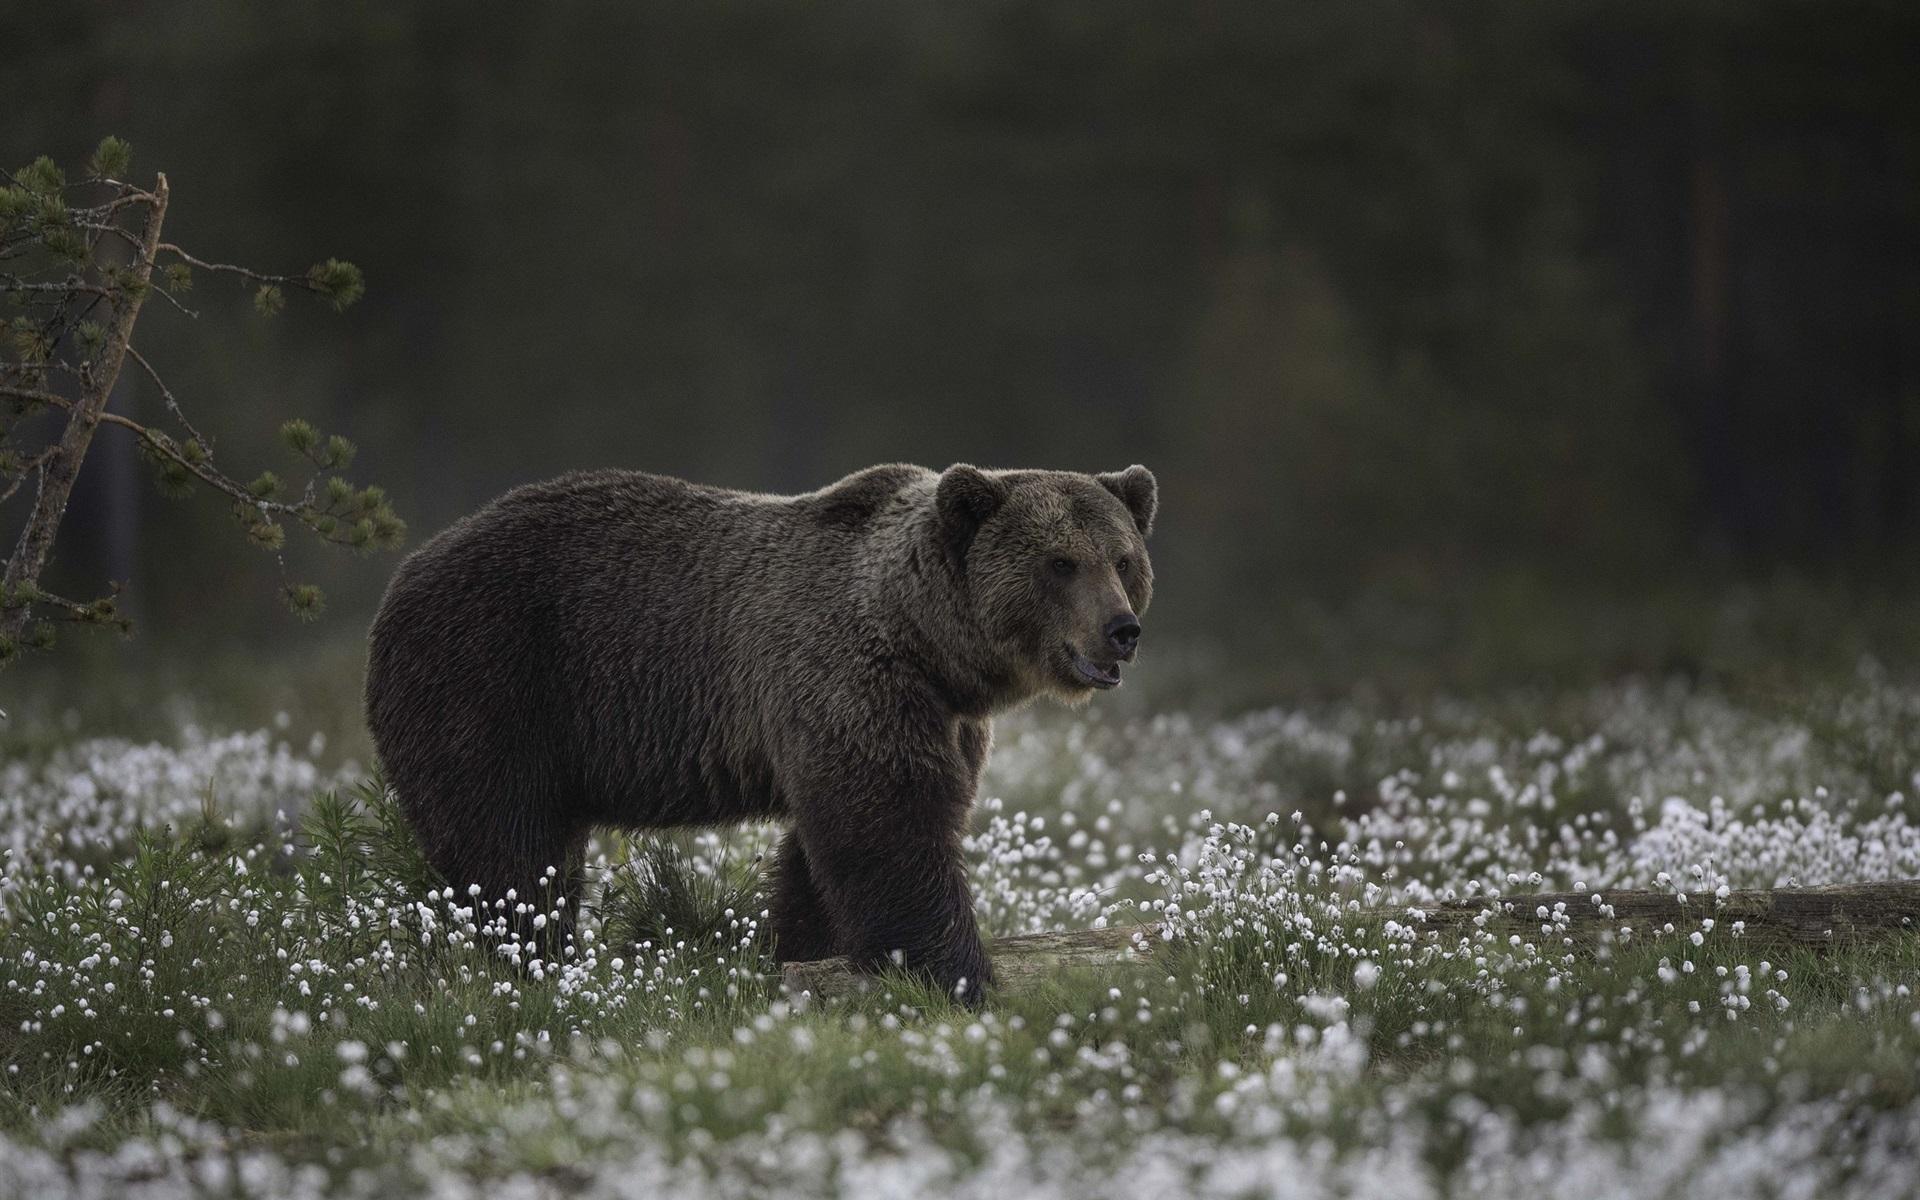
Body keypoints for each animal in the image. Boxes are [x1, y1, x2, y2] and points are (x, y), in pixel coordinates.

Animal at [370, 462, 1152, 998]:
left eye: (1123, 560)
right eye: (1060, 562)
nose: (1122, 630)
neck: (926, 644)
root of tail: (406, 571)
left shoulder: (939, 718)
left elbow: (833, 849)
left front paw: (801, 950)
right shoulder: (849, 678)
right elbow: (891, 828)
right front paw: (958, 973)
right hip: (492, 679)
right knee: (508, 847)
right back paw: (538, 957)